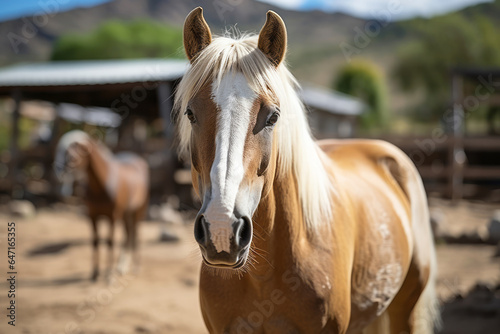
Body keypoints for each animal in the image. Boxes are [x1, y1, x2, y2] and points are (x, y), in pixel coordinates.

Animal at [55, 129, 148, 280]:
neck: (102, 186)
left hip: (139, 210)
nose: (59, 171)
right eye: (66, 153)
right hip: (126, 213)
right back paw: (122, 267)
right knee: (128, 234)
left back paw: (135, 267)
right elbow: (95, 241)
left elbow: (110, 243)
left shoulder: (113, 217)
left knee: (136, 234)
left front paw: (109, 275)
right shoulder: (93, 215)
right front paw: (95, 273)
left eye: (73, 157)